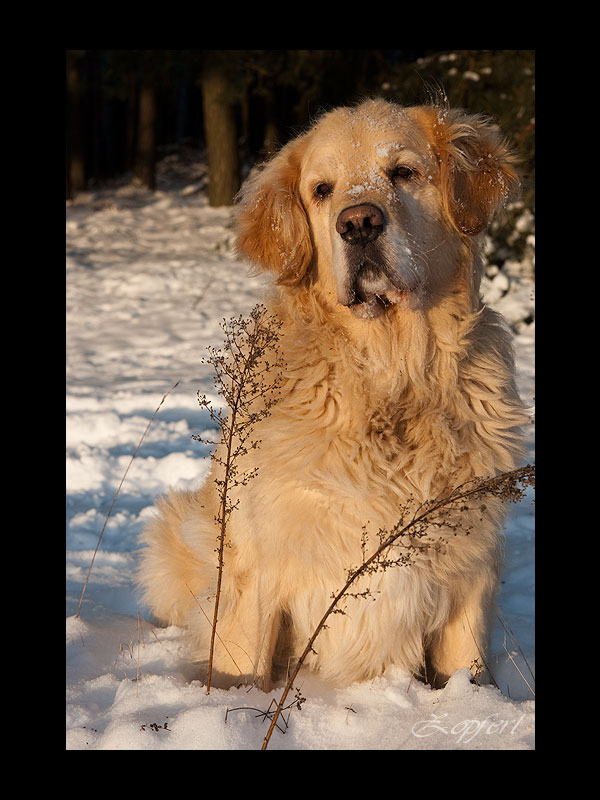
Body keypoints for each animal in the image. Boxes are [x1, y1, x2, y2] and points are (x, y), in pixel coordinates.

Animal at [138, 98, 528, 688]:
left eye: (403, 172)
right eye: (322, 189)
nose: (359, 222)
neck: (390, 376)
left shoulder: (471, 560)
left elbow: (467, 668)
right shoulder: (260, 566)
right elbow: (242, 665)